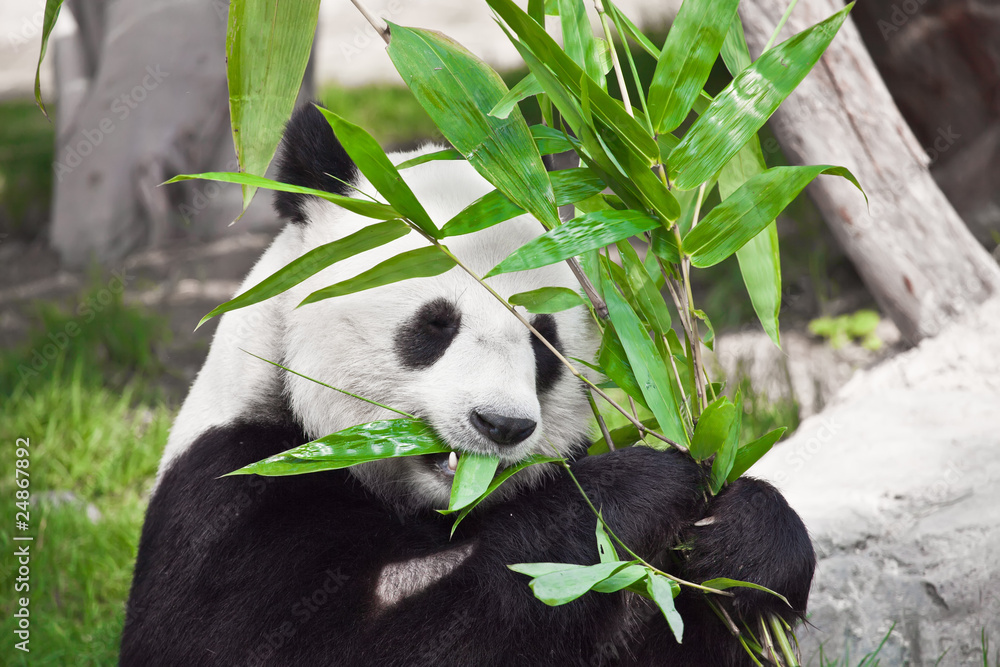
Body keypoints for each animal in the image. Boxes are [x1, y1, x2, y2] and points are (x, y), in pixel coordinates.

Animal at [121, 103, 815, 666]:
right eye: (436, 324)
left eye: (543, 342)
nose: (501, 425)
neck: (442, 509)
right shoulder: (240, 489)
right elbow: (301, 642)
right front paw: (637, 487)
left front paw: (748, 538)